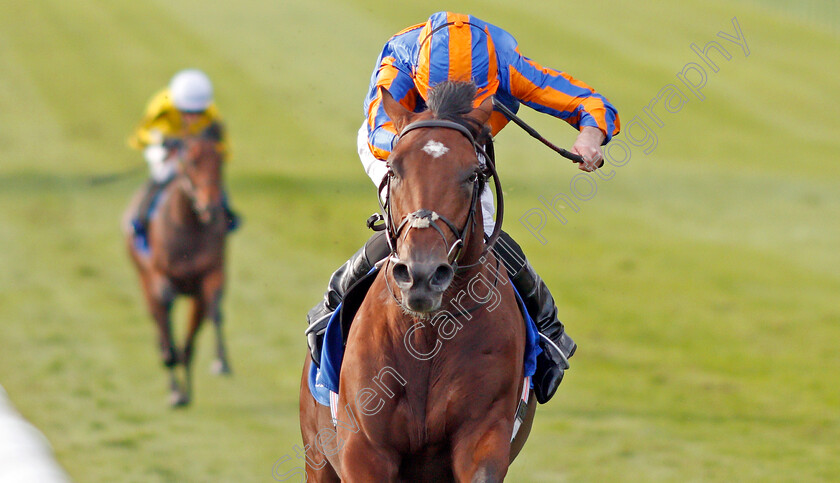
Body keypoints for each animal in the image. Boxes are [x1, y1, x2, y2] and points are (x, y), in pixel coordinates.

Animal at [123, 125, 231, 408]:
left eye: (219, 161)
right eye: (191, 162)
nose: (210, 205)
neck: (188, 224)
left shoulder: (211, 274)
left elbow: (214, 311)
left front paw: (221, 361)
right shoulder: (160, 278)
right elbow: (165, 316)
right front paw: (168, 360)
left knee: (189, 340)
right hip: (143, 278)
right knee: (159, 320)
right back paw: (174, 385)